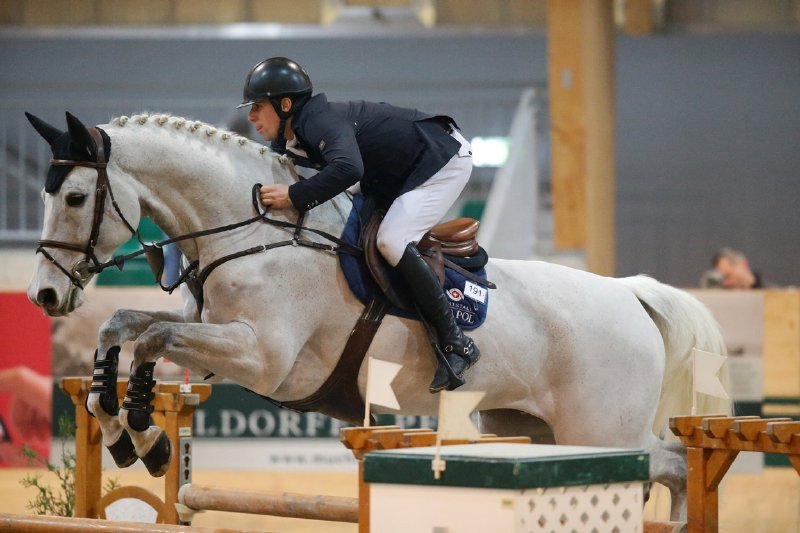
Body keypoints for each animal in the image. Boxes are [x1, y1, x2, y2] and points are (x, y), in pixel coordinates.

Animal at [25, 111, 728, 516]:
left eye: (76, 196)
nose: (45, 297)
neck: (252, 231)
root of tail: (630, 293)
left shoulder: (260, 356)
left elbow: (150, 339)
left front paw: (146, 434)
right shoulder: (217, 340)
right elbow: (126, 327)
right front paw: (125, 434)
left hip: (601, 428)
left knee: (669, 465)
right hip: (536, 430)